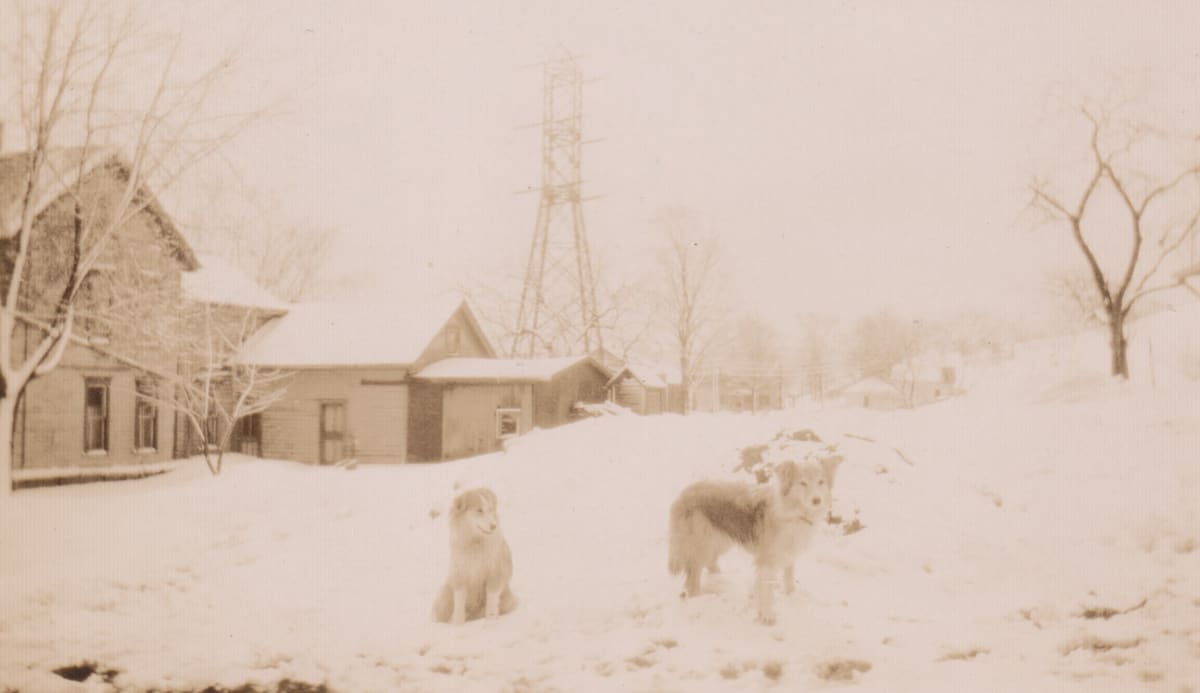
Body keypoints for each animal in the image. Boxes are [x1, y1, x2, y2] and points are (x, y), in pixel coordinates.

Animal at [436, 481, 520, 623]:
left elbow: (491, 602)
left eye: (490, 509)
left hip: (507, 600)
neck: (476, 543)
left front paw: (490, 623)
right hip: (445, 596)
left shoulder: (494, 573)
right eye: (479, 510)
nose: (493, 526)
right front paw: (458, 624)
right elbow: (459, 605)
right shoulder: (460, 574)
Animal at [667, 455, 844, 623]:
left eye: (821, 482)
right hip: (702, 543)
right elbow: (766, 591)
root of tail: (684, 492)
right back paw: (697, 598)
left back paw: (720, 578)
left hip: (720, 540)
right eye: (803, 483)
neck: (792, 512)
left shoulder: (789, 552)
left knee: (710, 561)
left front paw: (791, 598)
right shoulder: (767, 559)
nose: (817, 500)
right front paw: (767, 616)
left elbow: (789, 580)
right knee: (693, 576)